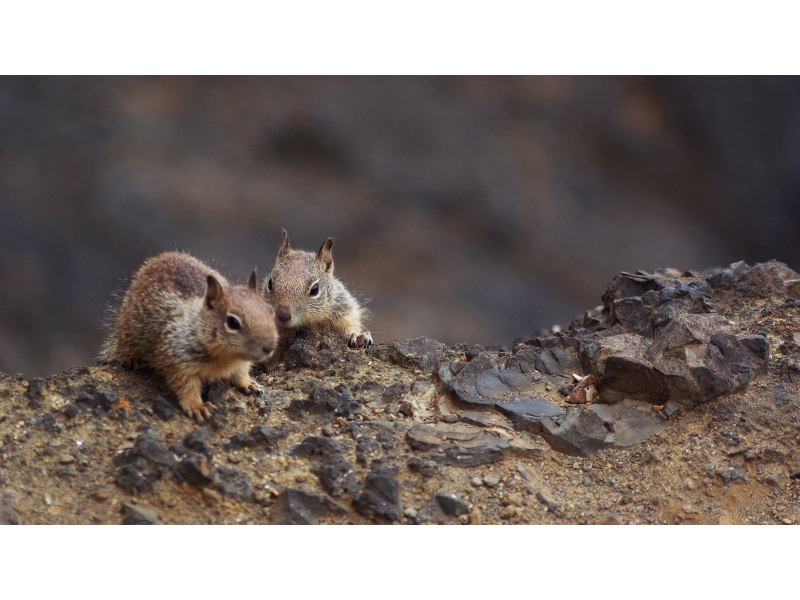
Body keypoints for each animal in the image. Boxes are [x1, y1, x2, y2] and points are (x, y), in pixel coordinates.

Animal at [100, 251, 278, 420]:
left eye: (270, 311)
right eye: (233, 322)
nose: (269, 348)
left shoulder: (241, 363)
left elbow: (241, 373)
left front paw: (249, 384)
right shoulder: (176, 359)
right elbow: (186, 387)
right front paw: (197, 407)